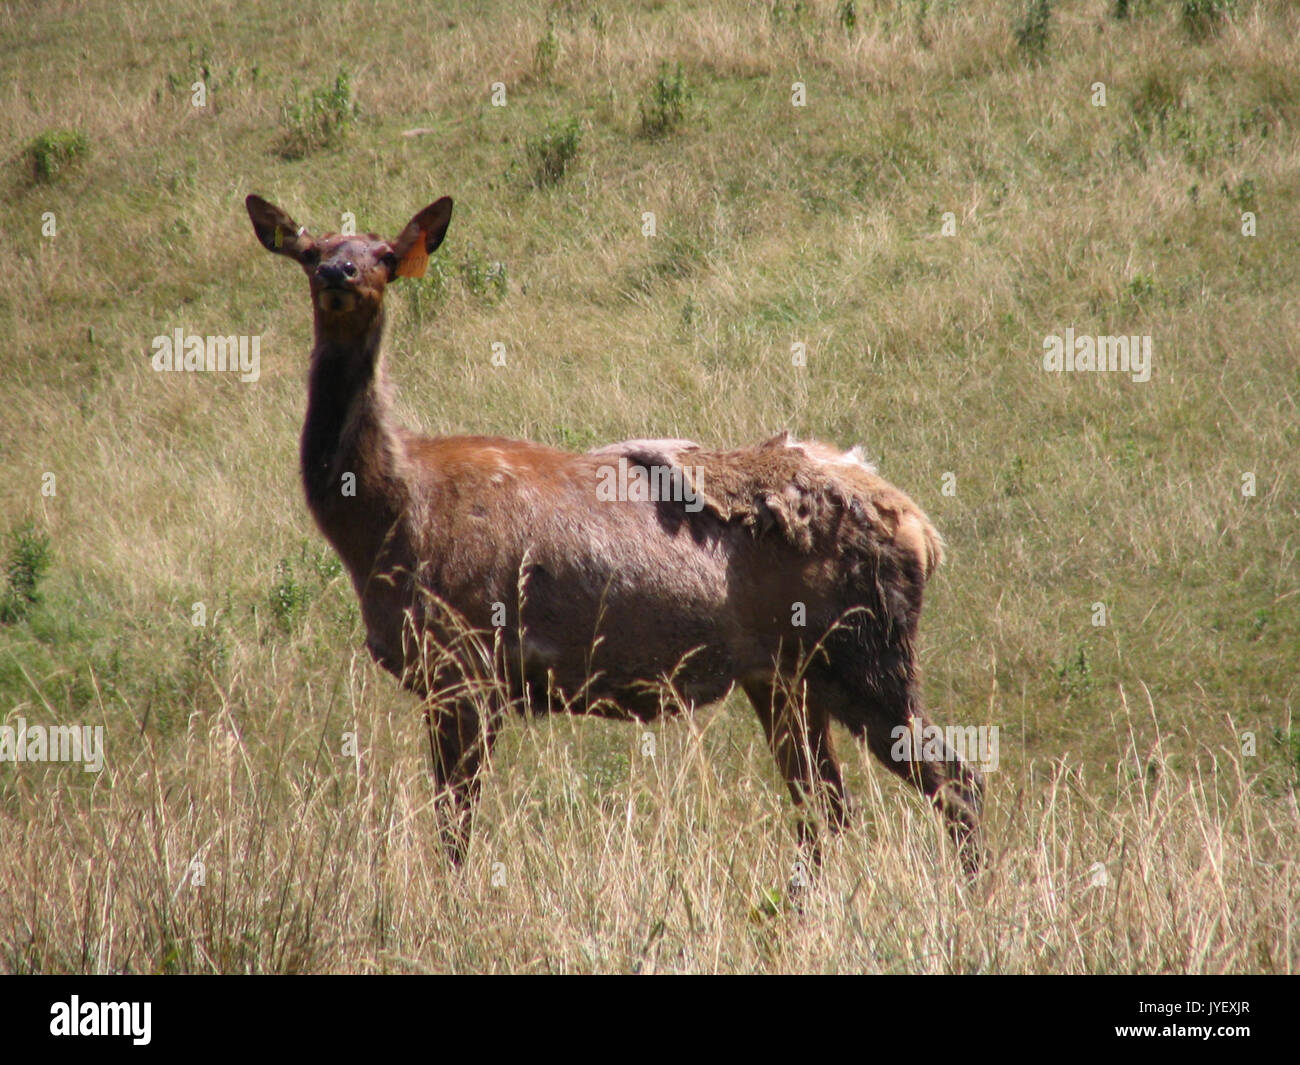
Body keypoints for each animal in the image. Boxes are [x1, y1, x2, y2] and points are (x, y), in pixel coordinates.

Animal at [245, 192, 984, 877]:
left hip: (866, 650)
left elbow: (456, 830)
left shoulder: (466, 662)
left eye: (385, 255)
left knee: (956, 782)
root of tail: (923, 530)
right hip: (784, 674)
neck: (385, 523)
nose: (339, 273)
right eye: (311, 251)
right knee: (827, 807)